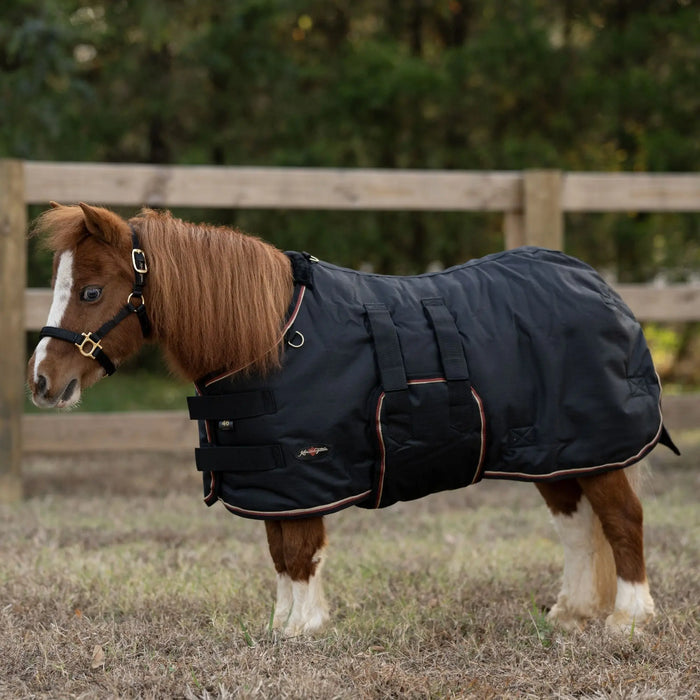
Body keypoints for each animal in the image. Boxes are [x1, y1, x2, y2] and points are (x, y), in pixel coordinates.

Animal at [27, 202, 676, 638]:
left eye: (90, 291)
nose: (40, 382)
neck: (268, 337)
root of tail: (598, 284)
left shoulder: (307, 473)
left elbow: (301, 552)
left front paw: (304, 628)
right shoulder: (275, 482)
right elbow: (280, 553)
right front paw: (284, 626)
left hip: (597, 446)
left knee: (622, 521)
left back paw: (628, 617)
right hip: (555, 453)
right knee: (576, 527)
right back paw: (572, 611)